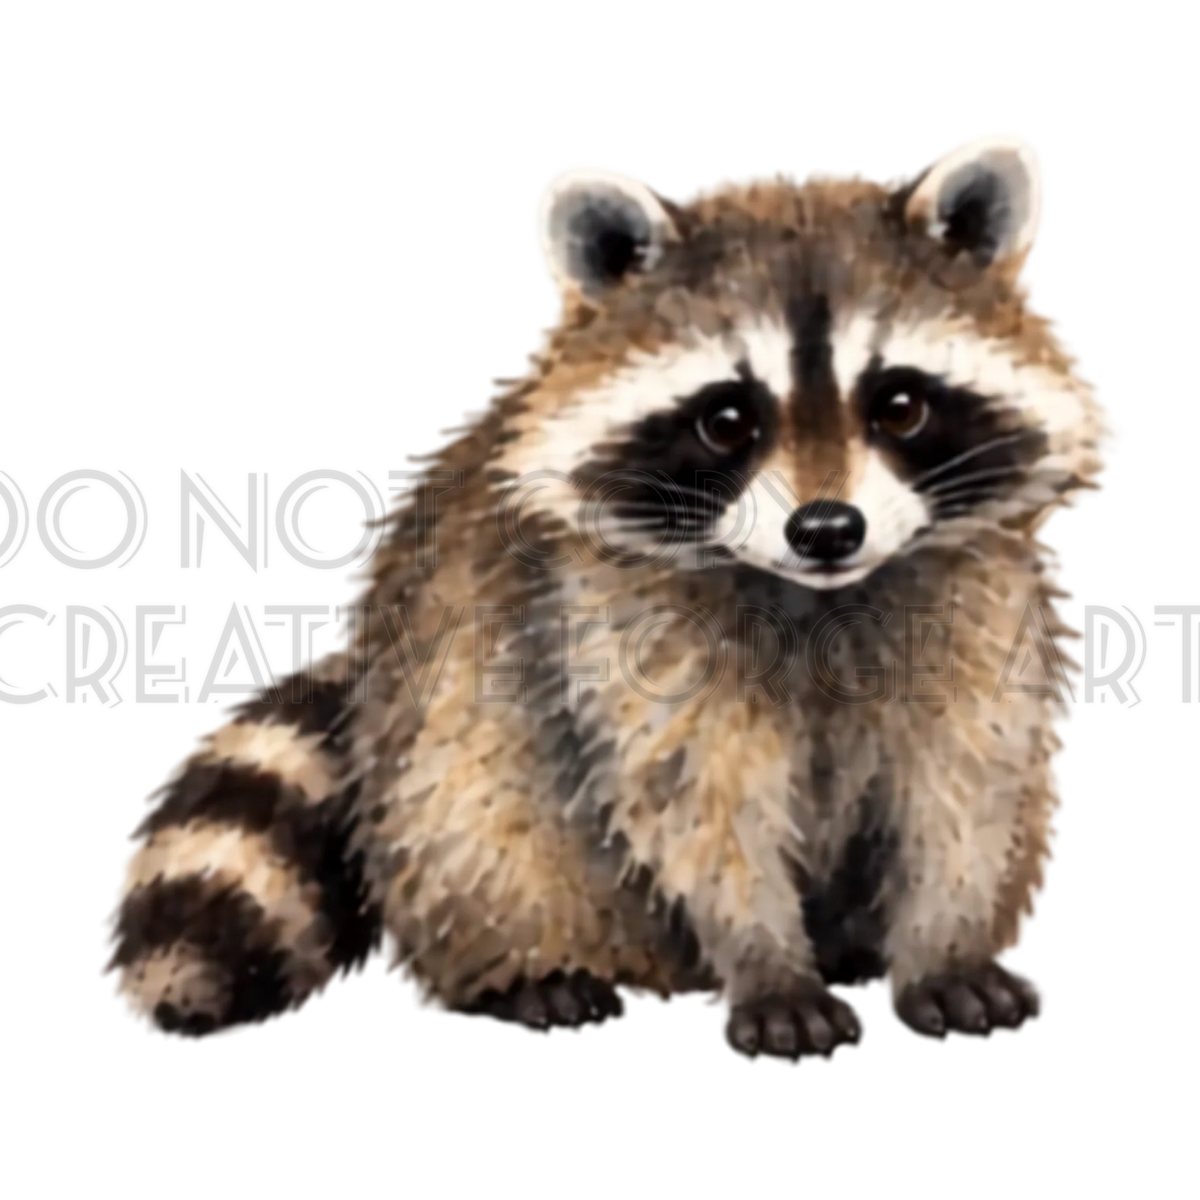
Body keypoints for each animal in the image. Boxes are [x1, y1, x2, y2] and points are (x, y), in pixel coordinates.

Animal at [101, 131, 1124, 1064]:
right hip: (433, 767)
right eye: (727, 420)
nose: (828, 529)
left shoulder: (979, 607)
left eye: (900, 407)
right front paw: (764, 963)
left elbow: (966, 786)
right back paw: (525, 969)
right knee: (473, 814)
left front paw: (947, 947)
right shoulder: (616, 626)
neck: (817, 594)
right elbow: (698, 806)